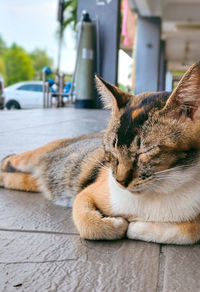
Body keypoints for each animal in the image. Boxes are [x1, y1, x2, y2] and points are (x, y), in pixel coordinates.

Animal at [1, 61, 200, 244]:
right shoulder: (87, 193)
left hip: (32, 180)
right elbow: (87, 221)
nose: (120, 181)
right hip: (34, 156)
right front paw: (119, 224)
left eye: (146, 150)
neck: (160, 191)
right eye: (111, 150)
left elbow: (190, 231)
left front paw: (136, 227)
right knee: (11, 162)